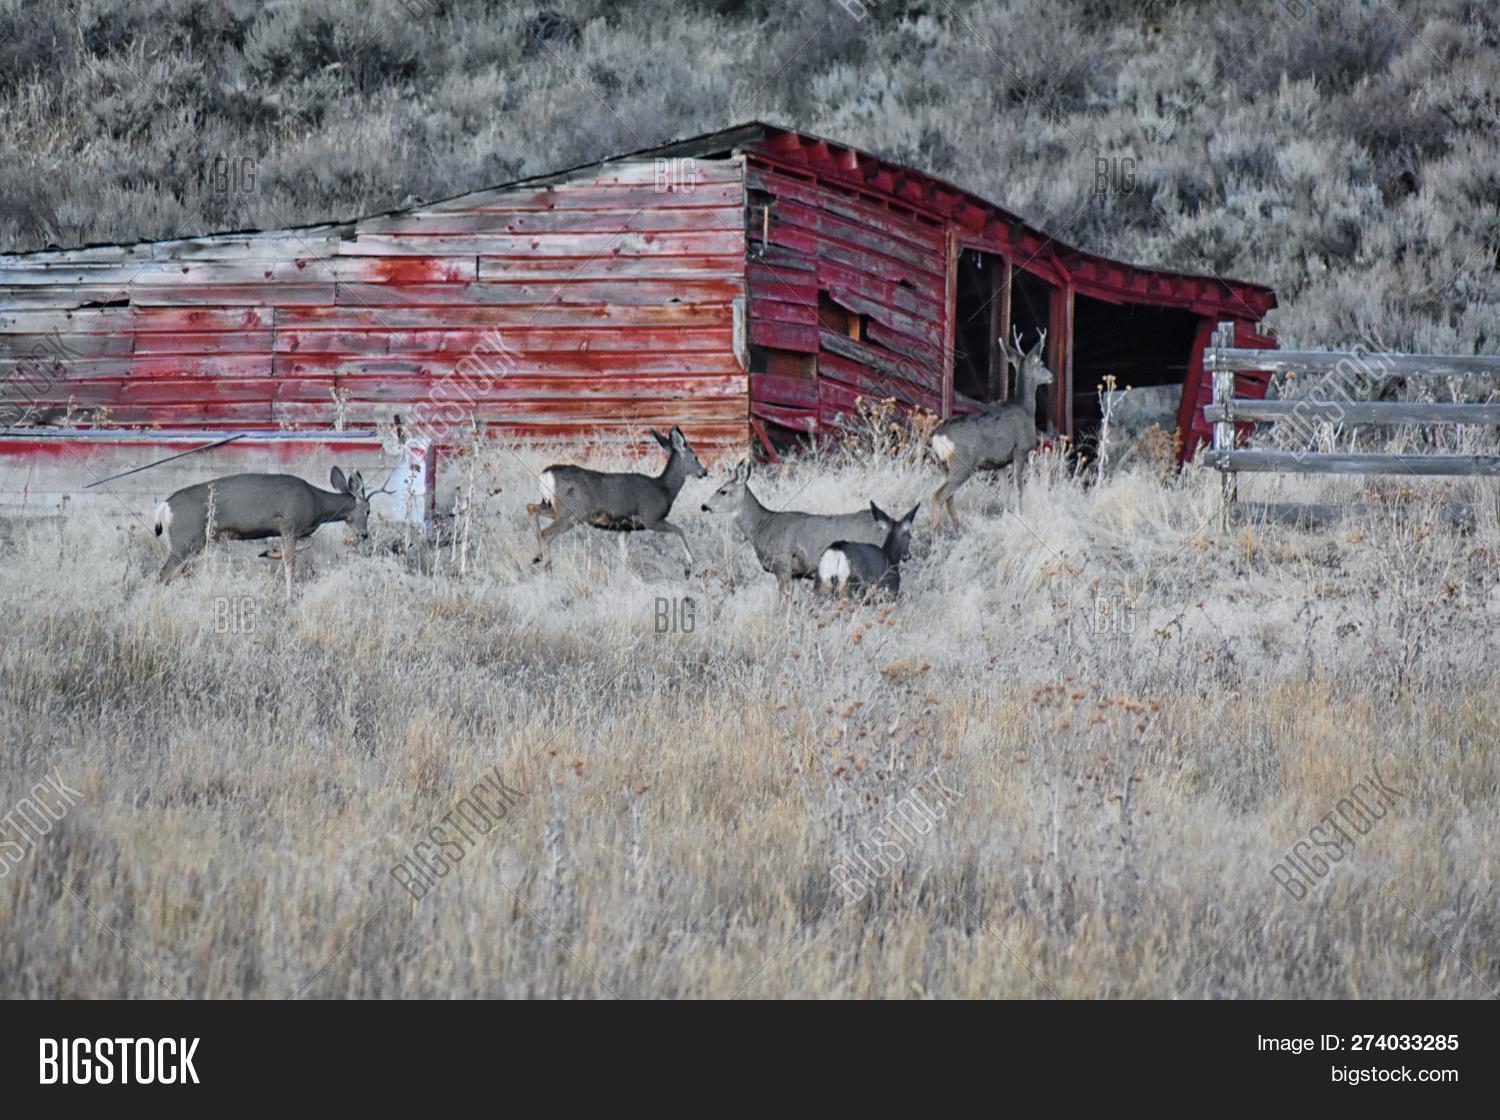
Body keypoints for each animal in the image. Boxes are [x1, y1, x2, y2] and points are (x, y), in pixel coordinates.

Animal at [153, 466, 374, 589]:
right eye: (368, 511)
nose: (364, 534)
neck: (316, 503)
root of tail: (165, 505)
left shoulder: (297, 531)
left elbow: (307, 544)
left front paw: (268, 552)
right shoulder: (289, 524)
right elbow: (290, 566)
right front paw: (289, 597)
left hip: (193, 542)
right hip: (184, 539)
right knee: (161, 575)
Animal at [527, 426, 708, 577]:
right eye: (696, 457)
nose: (704, 472)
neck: (664, 489)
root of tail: (546, 474)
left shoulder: (624, 528)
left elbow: (623, 556)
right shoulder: (651, 518)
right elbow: (679, 530)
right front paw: (689, 565)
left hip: (553, 507)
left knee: (531, 508)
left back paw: (537, 557)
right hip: (571, 512)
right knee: (546, 533)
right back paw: (547, 569)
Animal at [700, 458, 896, 593]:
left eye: (723, 491)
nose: (704, 506)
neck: (763, 527)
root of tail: (889, 524)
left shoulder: (782, 565)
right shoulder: (796, 574)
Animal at [929, 328, 1055, 532]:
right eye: (1042, 363)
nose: (1051, 376)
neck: (1026, 409)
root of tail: (939, 435)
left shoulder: (1000, 463)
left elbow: (1004, 493)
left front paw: (1007, 516)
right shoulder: (1020, 449)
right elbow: (1018, 487)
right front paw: (1020, 516)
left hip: (947, 466)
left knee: (948, 497)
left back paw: (958, 529)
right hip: (962, 463)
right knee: (938, 495)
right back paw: (936, 534)